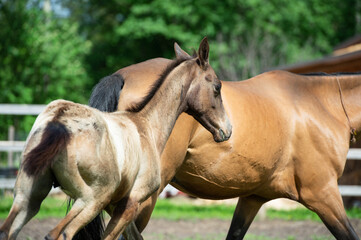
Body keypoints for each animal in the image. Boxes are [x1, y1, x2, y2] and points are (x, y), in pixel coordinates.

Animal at [0, 38, 231, 239]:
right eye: (217, 87)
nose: (227, 129)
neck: (146, 125)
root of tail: (57, 122)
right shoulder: (130, 203)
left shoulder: (115, 205)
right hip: (90, 200)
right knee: (60, 233)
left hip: (27, 197)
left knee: (8, 230)